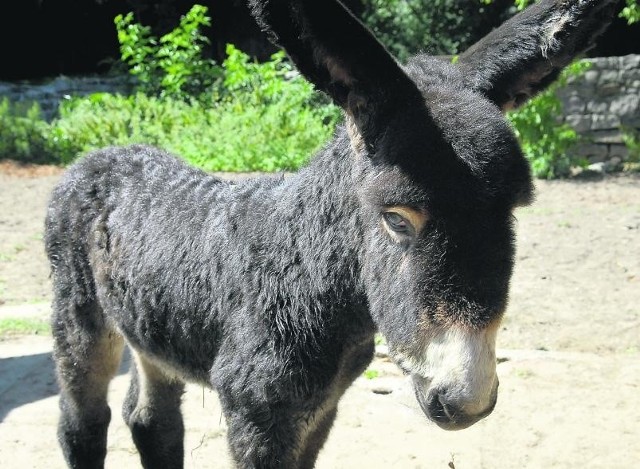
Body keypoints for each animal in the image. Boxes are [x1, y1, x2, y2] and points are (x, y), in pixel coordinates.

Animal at [45, 0, 616, 468]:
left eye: (512, 214)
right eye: (396, 219)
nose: (466, 400)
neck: (302, 272)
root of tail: (101, 156)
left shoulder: (322, 408)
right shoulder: (256, 414)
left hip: (151, 332)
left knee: (151, 420)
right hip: (79, 318)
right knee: (82, 423)